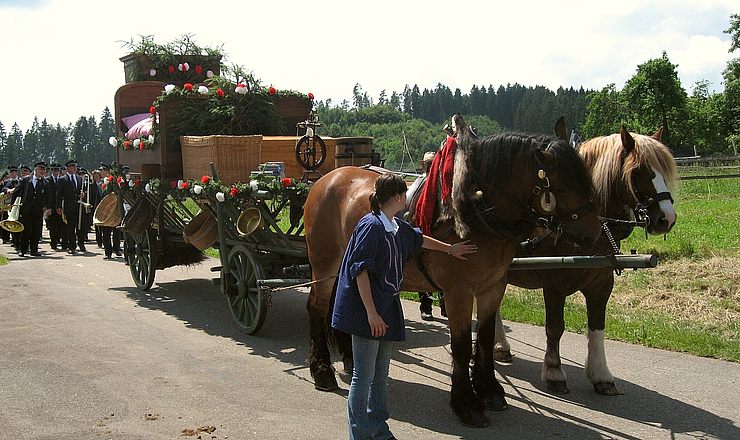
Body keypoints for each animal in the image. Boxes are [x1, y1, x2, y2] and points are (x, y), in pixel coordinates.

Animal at [304, 116, 604, 426]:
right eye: (564, 189)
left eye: (587, 182)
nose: (594, 235)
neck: (476, 212)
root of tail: (325, 180)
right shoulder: (458, 292)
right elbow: (460, 344)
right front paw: (466, 403)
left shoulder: (493, 286)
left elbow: (484, 338)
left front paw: (489, 389)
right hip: (325, 262)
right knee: (317, 306)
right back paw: (322, 369)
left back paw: (350, 361)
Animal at [498, 126, 676, 396]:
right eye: (637, 172)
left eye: (665, 170)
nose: (667, 218)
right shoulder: (554, 284)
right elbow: (555, 327)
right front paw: (554, 372)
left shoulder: (601, 285)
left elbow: (597, 327)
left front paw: (601, 374)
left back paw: (500, 346)